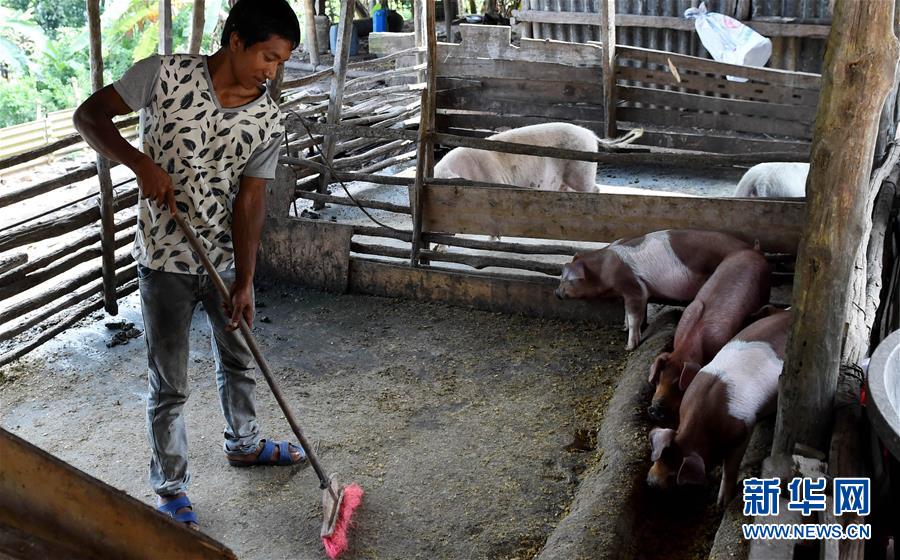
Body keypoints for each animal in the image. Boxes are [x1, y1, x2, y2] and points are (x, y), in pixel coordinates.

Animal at [556, 228, 752, 350]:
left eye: (567, 279)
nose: (556, 293)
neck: (604, 269)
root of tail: (748, 247)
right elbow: (626, 312)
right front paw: (623, 327)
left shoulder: (635, 287)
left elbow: (634, 316)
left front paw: (629, 346)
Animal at [648, 308, 788, 506]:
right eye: (658, 458)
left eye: (673, 476)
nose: (651, 483)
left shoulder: (744, 429)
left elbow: (731, 467)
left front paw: (722, 504)